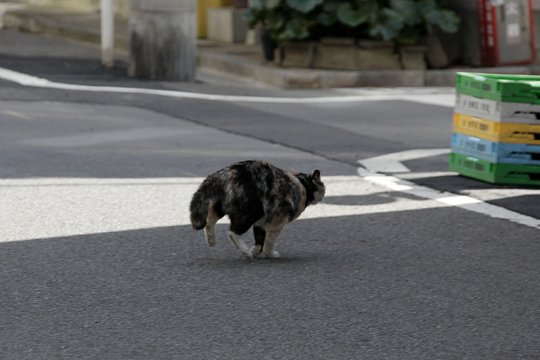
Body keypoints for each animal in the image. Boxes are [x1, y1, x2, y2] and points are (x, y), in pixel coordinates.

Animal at [190, 160, 324, 258]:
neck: (303, 185)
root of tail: (226, 172)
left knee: (210, 218)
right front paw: (269, 254)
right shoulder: (276, 222)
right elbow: (269, 242)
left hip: (223, 206)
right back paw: (243, 250)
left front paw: (256, 251)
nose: (323, 195)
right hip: (251, 211)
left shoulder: (261, 222)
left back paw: (211, 240)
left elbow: (259, 239)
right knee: (232, 232)